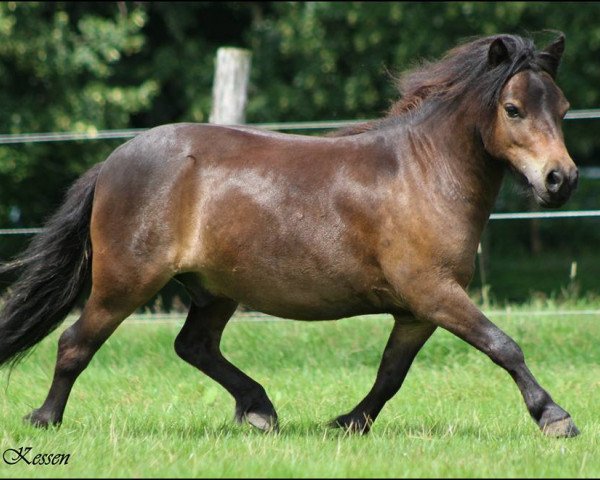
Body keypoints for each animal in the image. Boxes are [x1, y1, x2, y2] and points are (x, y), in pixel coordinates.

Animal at [1, 33, 580, 436]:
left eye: (563, 108)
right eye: (513, 109)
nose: (562, 179)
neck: (423, 172)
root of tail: (113, 162)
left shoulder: (417, 311)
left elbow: (390, 374)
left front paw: (347, 423)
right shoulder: (434, 293)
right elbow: (503, 346)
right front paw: (555, 416)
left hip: (214, 291)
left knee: (194, 346)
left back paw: (258, 410)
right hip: (125, 282)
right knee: (76, 343)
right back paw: (44, 419)